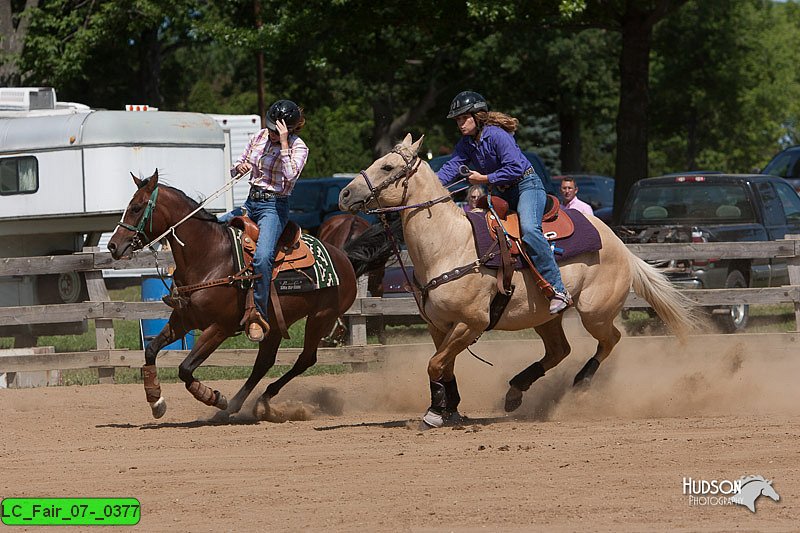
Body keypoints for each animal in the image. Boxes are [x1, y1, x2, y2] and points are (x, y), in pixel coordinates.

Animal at [107, 170, 356, 420]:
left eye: (137, 207)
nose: (112, 246)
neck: (210, 256)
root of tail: (344, 258)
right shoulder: (183, 320)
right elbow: (151, 350)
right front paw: (156, 401)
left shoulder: (220, 327)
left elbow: (185, 369)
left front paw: (214, 397)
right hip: (276, 324)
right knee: (263, 363)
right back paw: (241, 405)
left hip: (321, 318)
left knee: (305, 359)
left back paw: (255, 401)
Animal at [338, 134, 692, 428]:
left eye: (388, 166)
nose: (344, 193)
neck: (449, 245)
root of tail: (621, 246)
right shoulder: (438, 325)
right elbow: (443, 366)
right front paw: (448, 408)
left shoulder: (472, 323)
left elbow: (435, 365)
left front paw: (436, 414)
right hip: (545, 317)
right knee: (559, 350)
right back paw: (515, 392)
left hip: (595, 313)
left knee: (611, 340)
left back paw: (580, 383)